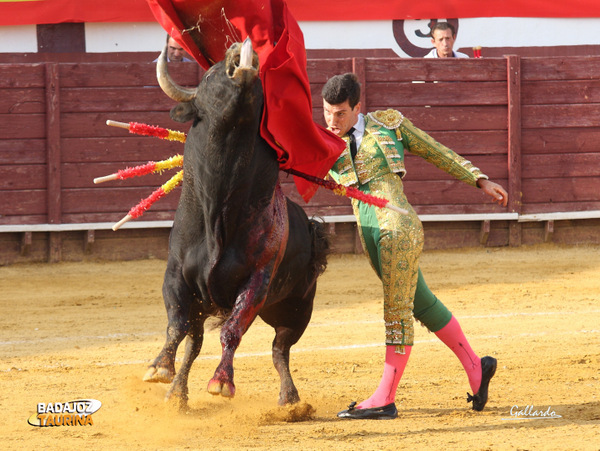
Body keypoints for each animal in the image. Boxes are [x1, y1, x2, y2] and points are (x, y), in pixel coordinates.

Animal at [144, 40, 330, 408]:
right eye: (209, 75)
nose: (238, 48)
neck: (220, 206)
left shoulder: (258, 280)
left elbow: (233, 329)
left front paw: (220, 382)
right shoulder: (176, 276)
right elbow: (176, 324)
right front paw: (159, 368)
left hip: (297, 308)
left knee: (280, 349)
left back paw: (290, 400)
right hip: (206, 304)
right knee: (194, 342)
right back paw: (177, 394)